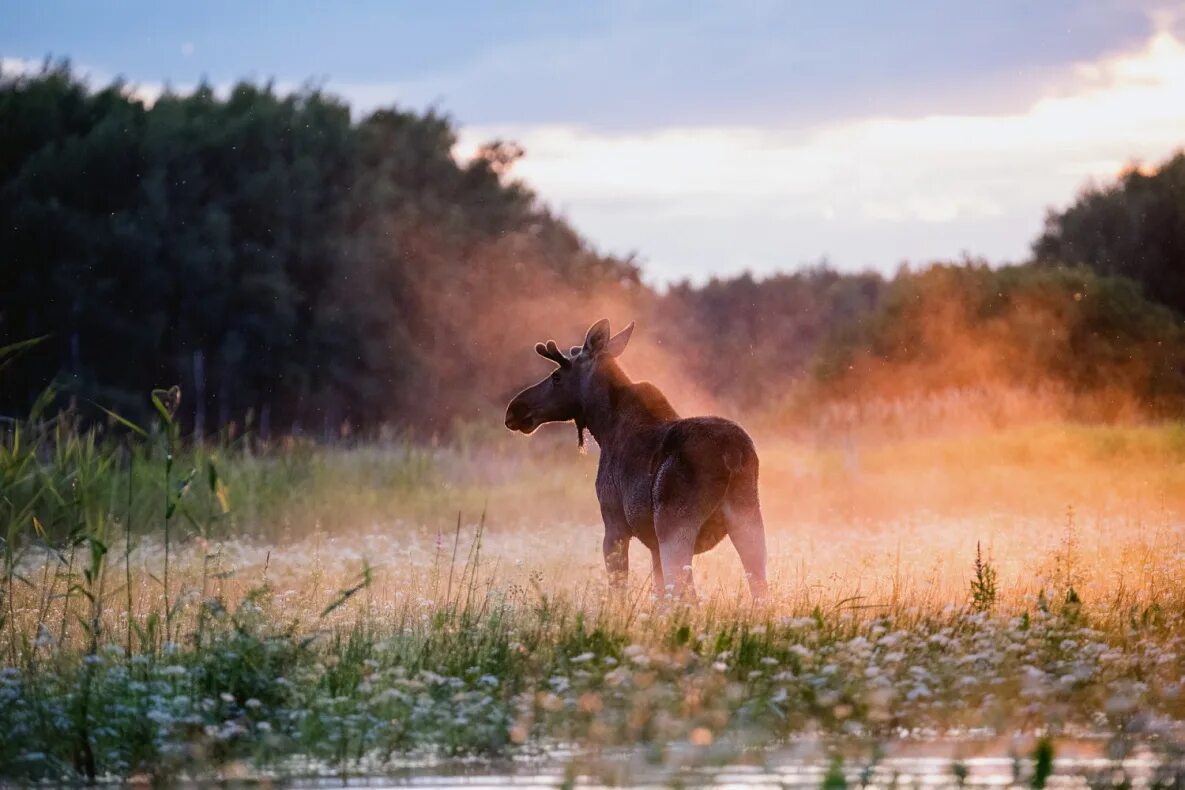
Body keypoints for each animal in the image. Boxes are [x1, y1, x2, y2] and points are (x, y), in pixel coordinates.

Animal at [507, 317, 767, 596]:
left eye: (556, 376)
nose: (515, 409)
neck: (603, 427)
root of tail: (733, 453)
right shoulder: (652, 544)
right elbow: (659, 596)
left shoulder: (614, 524)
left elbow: (619, 590)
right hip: (749, 518)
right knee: (760, 589)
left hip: (674, 525)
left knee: (687, 593)